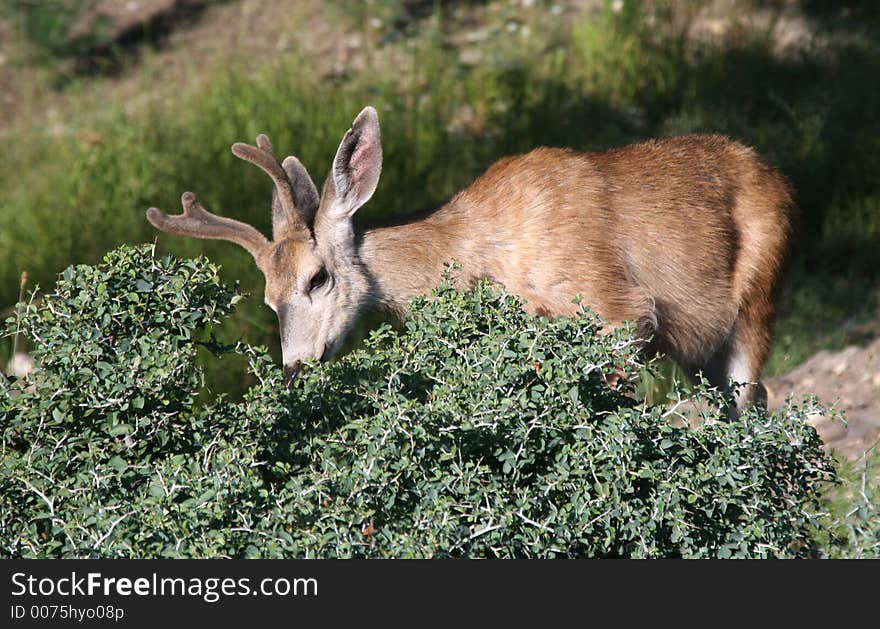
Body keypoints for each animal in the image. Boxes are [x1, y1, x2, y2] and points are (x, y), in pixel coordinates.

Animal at [148, 105, 796, 414]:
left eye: (318, 278)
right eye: (267, 299)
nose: (293, 369)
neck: (476, 253)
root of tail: (779, 178)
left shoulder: (618, 307)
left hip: (758, 295)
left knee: (756, 398)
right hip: (700, 352)